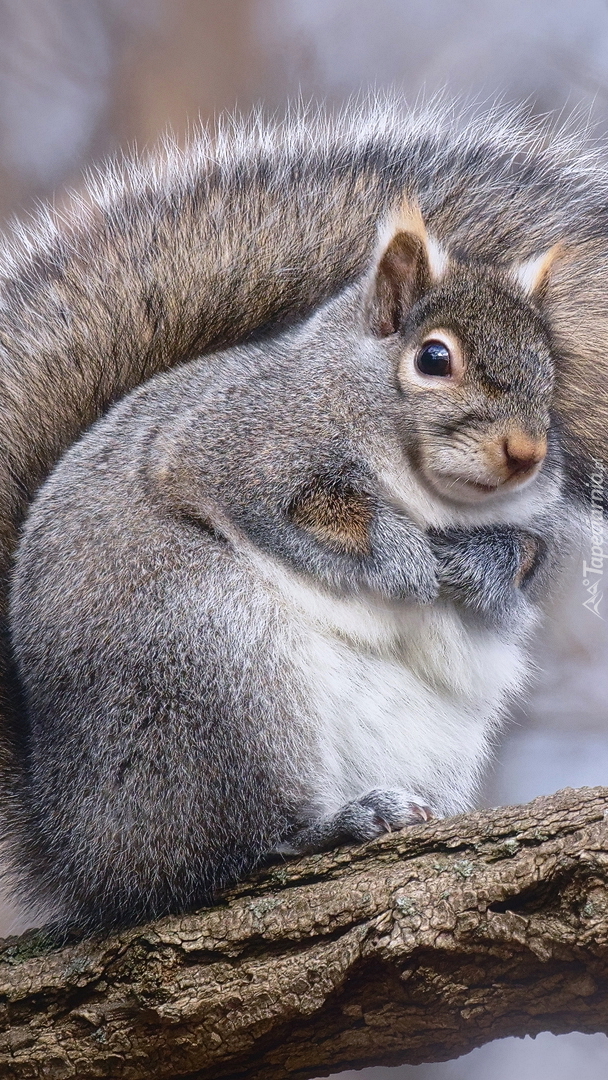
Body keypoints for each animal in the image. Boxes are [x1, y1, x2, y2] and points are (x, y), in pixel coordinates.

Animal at [0, 101, 604, 933]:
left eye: (549, 370)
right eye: (434, 358)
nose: (525, 452)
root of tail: (82, 852)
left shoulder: (532, 523)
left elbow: (523, 559)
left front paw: (478, 564)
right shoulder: (235, 446)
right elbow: (307, 512)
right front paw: (405, 554)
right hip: (210, 663)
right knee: (239, 846)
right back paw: (340, 821)